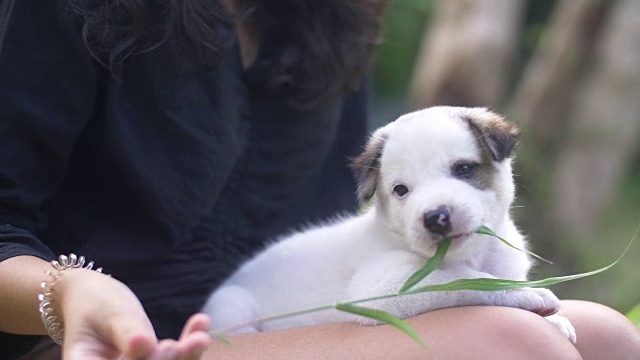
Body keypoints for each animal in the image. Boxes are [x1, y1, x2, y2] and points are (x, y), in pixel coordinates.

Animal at [204, 105, 576, 342]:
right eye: (401, 190)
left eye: (463, 169)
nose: (436, 217)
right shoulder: (383, 289)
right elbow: (460, 282)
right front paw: (526, 295)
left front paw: (554, 318)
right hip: (231, 306)